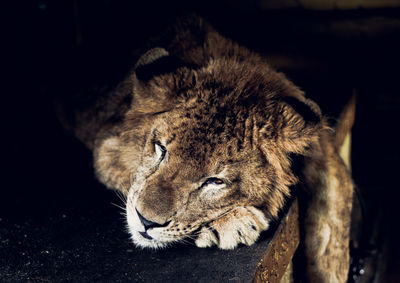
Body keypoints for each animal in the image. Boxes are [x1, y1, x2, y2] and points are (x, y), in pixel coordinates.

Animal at [56, 16, 354, 282]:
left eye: (215, 181)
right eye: (160, 149)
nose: (146, 222)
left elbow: (336, 214)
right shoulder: (108, 146)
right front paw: (235, 222)